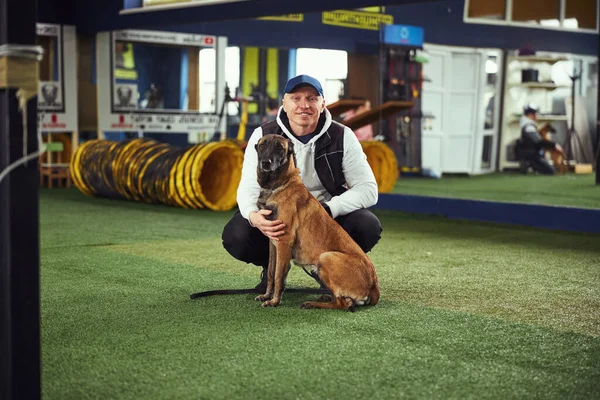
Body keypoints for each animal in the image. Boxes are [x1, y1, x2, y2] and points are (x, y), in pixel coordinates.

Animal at [253, 134, 380, 310]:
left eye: (279, 148)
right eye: (263, 145)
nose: (266, 163)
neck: (278, 185)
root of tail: (374, 284)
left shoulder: (284, 241)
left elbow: (279, 276)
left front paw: (274, 301)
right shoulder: (273, 243)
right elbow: (272, 272)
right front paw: (267, 295)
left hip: (326, 257)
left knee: (343, 304)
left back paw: (312, 303)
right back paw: (324, 297)